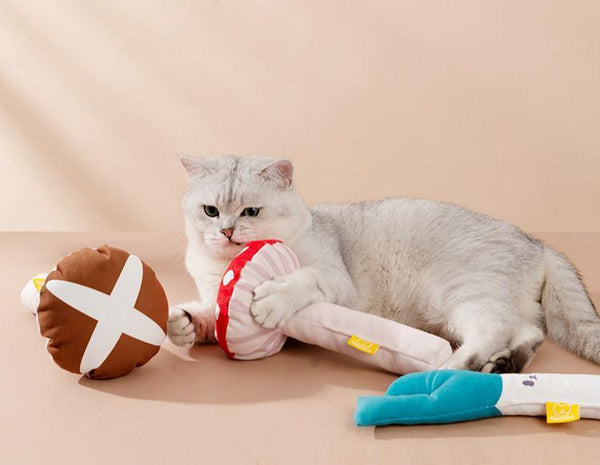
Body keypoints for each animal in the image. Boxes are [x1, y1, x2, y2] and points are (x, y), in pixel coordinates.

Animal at [169, 156, 600, 374]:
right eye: (210, 212)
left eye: (251, 212)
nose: (226, 231)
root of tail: (537, 242)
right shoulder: (213, 295)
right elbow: (206, 314)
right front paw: (183, 323)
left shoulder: (334, 279)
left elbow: (302, 280)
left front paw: (272, 299)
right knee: (528, 332)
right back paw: (505, 364)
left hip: (462, 295)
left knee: (492, 331)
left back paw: (452, 366)